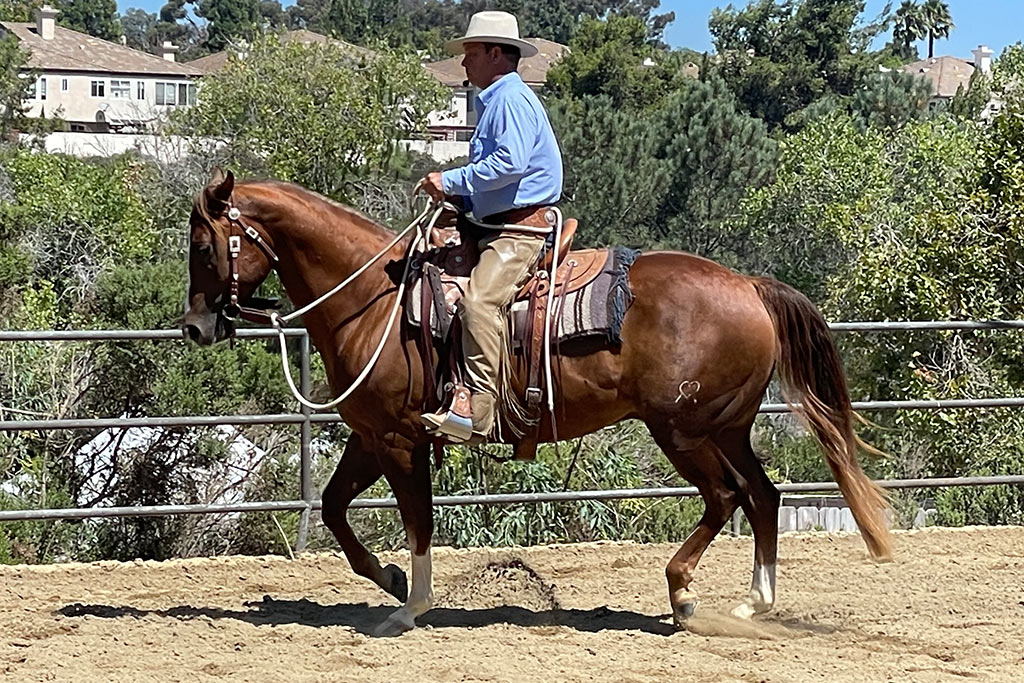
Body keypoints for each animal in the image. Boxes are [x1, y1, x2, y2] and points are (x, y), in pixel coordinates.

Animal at [186, 169, 897, 634]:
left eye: (202, 245)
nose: (195, 328)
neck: (375, 301)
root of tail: (748, 285)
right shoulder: (371, 435)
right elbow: (334, 509)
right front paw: (389, 580)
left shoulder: (398, 440)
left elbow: (417, 522)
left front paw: (410, 606)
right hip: (725, 429)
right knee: (763, 496)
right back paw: (754, 602)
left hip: (682, 431)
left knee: (727, 498)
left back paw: (684, 595)